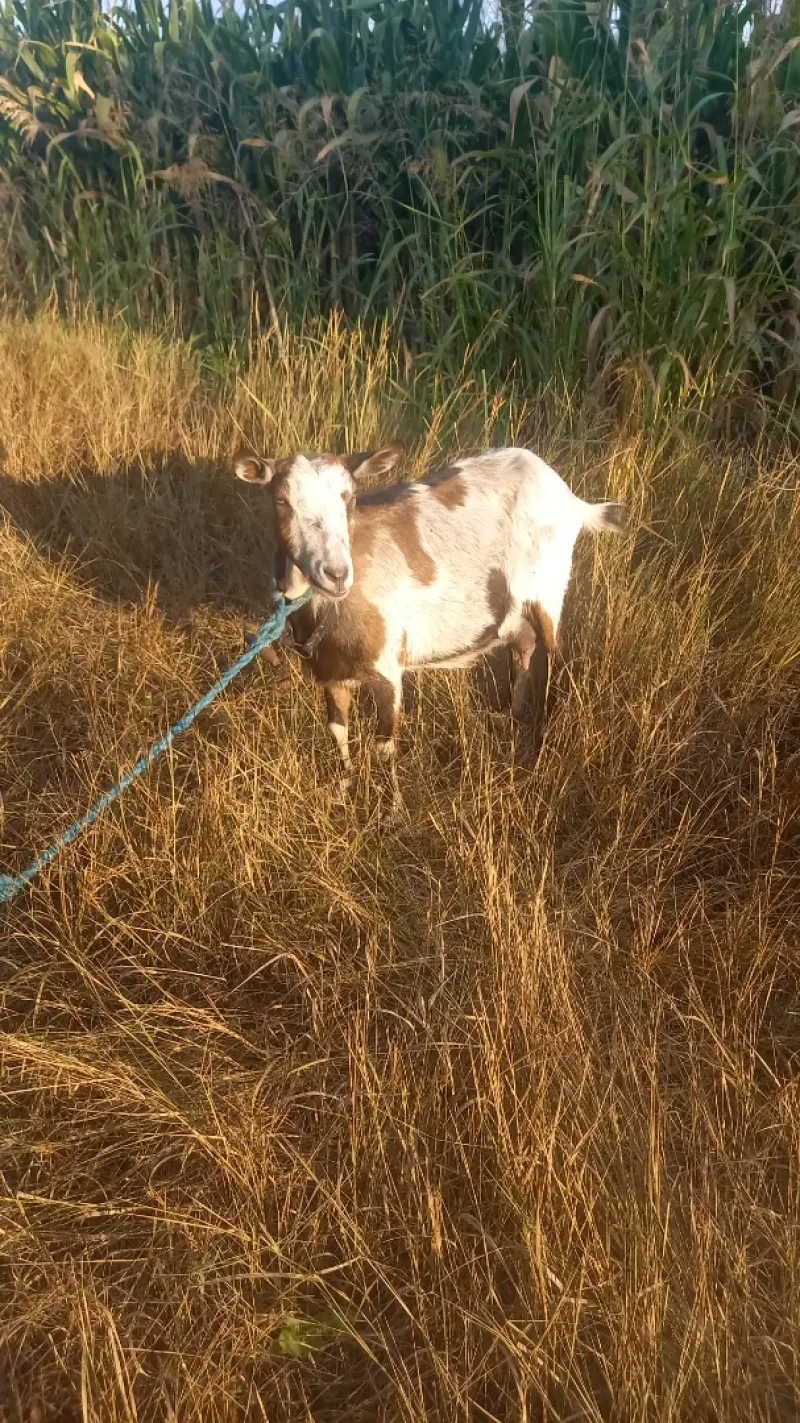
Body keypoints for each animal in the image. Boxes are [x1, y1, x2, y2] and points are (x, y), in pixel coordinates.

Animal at [233, 443, 626, 802]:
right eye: (281, 500)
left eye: (350, 497)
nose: (336, 573)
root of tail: (567, 496)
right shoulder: (329, 671)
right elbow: (337, 731)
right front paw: (346, 787)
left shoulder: (387, 670)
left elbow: (385, 745)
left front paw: (391, 808)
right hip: (515, 609)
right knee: (523, 653)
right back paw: (510, 723)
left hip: (547, 590)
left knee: (554, 659)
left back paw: (541, 747)